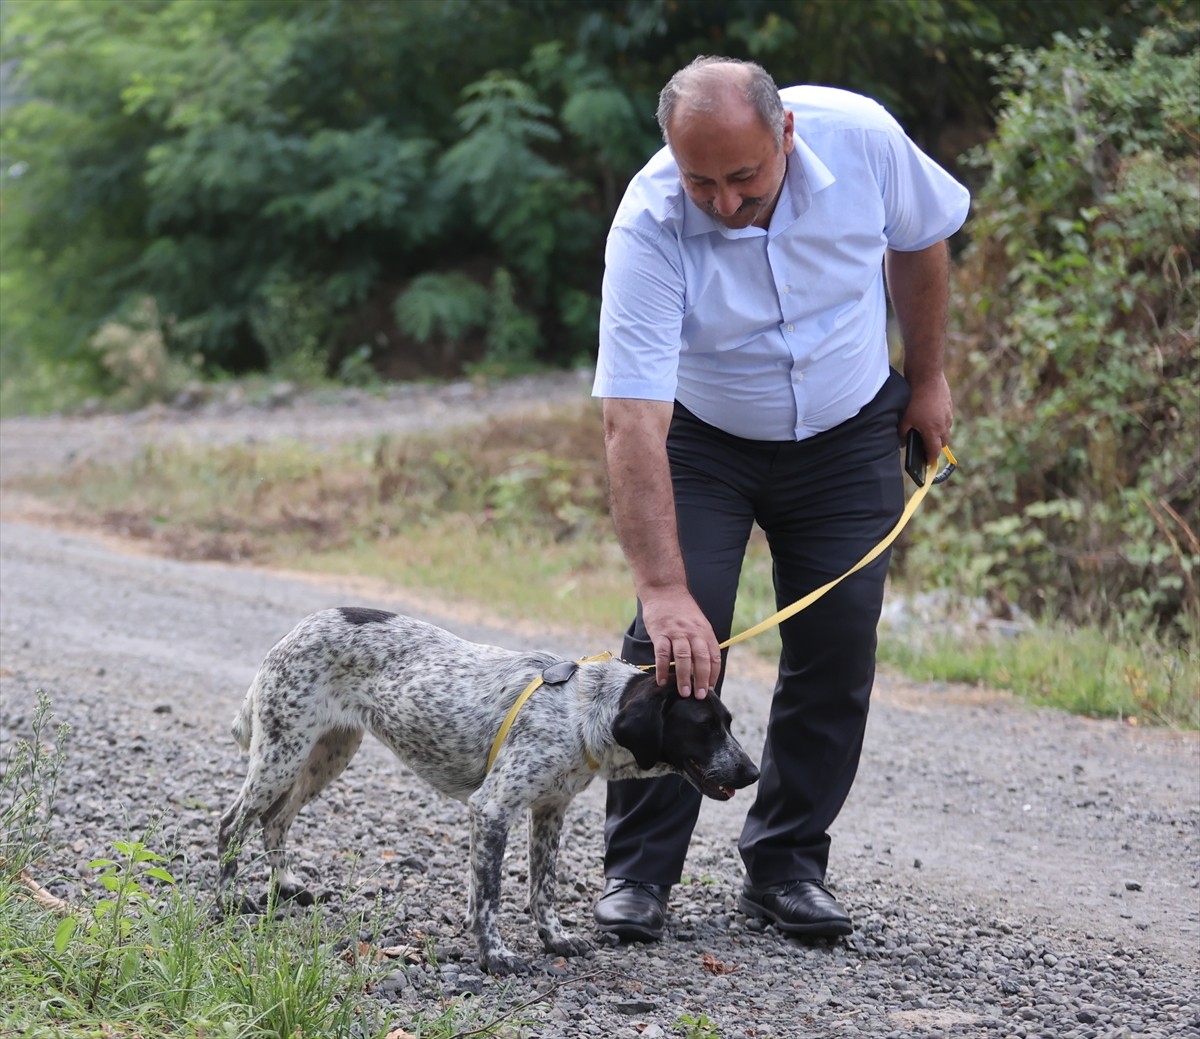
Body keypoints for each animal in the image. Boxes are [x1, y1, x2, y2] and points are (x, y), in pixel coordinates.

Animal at [216, 602, 758, 974]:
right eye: (705, 727)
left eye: (729, 724)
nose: (752, 773)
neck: (584, 711)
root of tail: (295, 629)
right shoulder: (493, 808)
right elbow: (491, 894)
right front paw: (495, 955)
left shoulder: (550, 810)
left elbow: (541, 889)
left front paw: (554, 941)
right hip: (282, 755)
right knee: (230, 824)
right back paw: (227, 901)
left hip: (326, 756)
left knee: (274, 821)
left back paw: (286, 886)